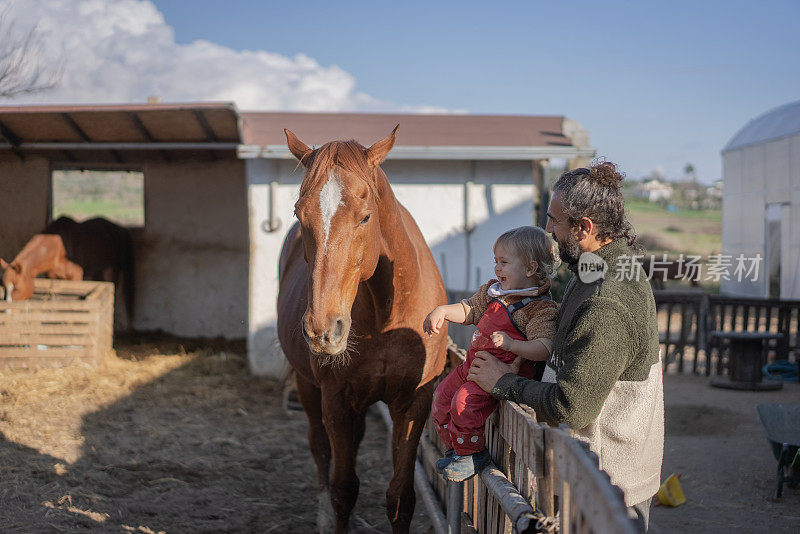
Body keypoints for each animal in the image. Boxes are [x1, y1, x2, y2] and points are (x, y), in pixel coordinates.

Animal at [278, 127, 446, 532]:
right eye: (299, 213)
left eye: (366, 217)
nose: (323, 330)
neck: (389, 319)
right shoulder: (336, 400)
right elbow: (343, 489)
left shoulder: (413, 403)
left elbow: (401, 497)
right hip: (309, 387)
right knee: (320, 447)